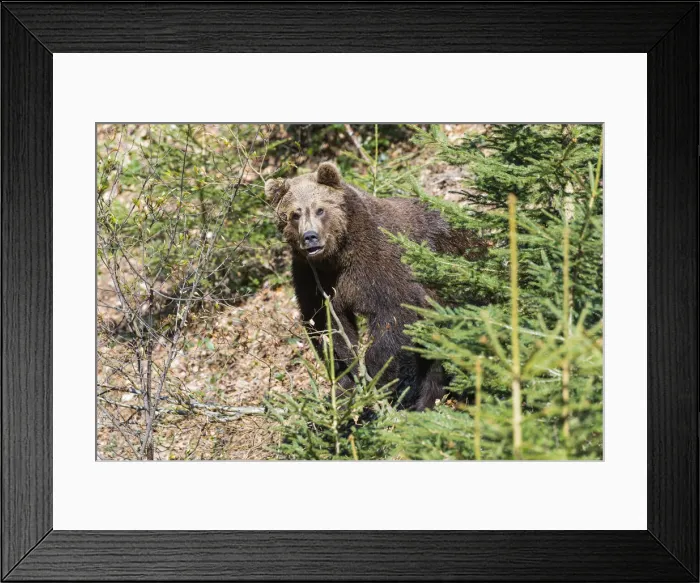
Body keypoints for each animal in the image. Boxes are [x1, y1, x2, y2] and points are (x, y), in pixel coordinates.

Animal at [265, 162, 473, 410]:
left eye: (320, 209)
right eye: (294, 214)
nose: (310, 237)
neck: (338, 256)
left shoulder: (380, 265)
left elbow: (392, 315)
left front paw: (374, 376)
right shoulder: (313, 278)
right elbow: (329, 326)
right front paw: (346, 381)